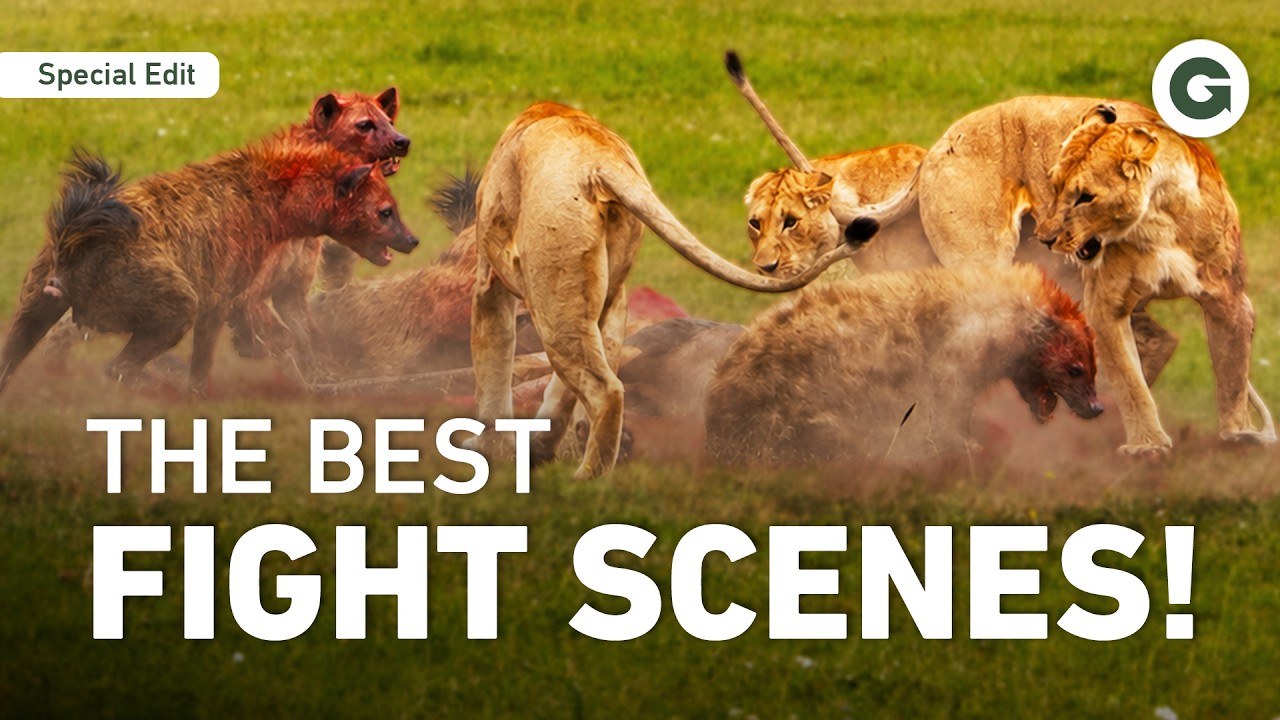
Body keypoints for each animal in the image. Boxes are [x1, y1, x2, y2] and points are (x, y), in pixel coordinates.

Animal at [470, 102, 879, 480]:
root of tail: (601, 159)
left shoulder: (489, 284)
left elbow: (493, 368)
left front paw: (488, 451)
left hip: (553, 296)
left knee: (606, 389)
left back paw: (584, 480)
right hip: (601, 297)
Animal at [704, 264, 1102, 466]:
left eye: (1093, 366)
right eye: (1075, 368)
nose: (1096, 407)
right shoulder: (948, 371)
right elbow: (948, 423)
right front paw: (964, 448)